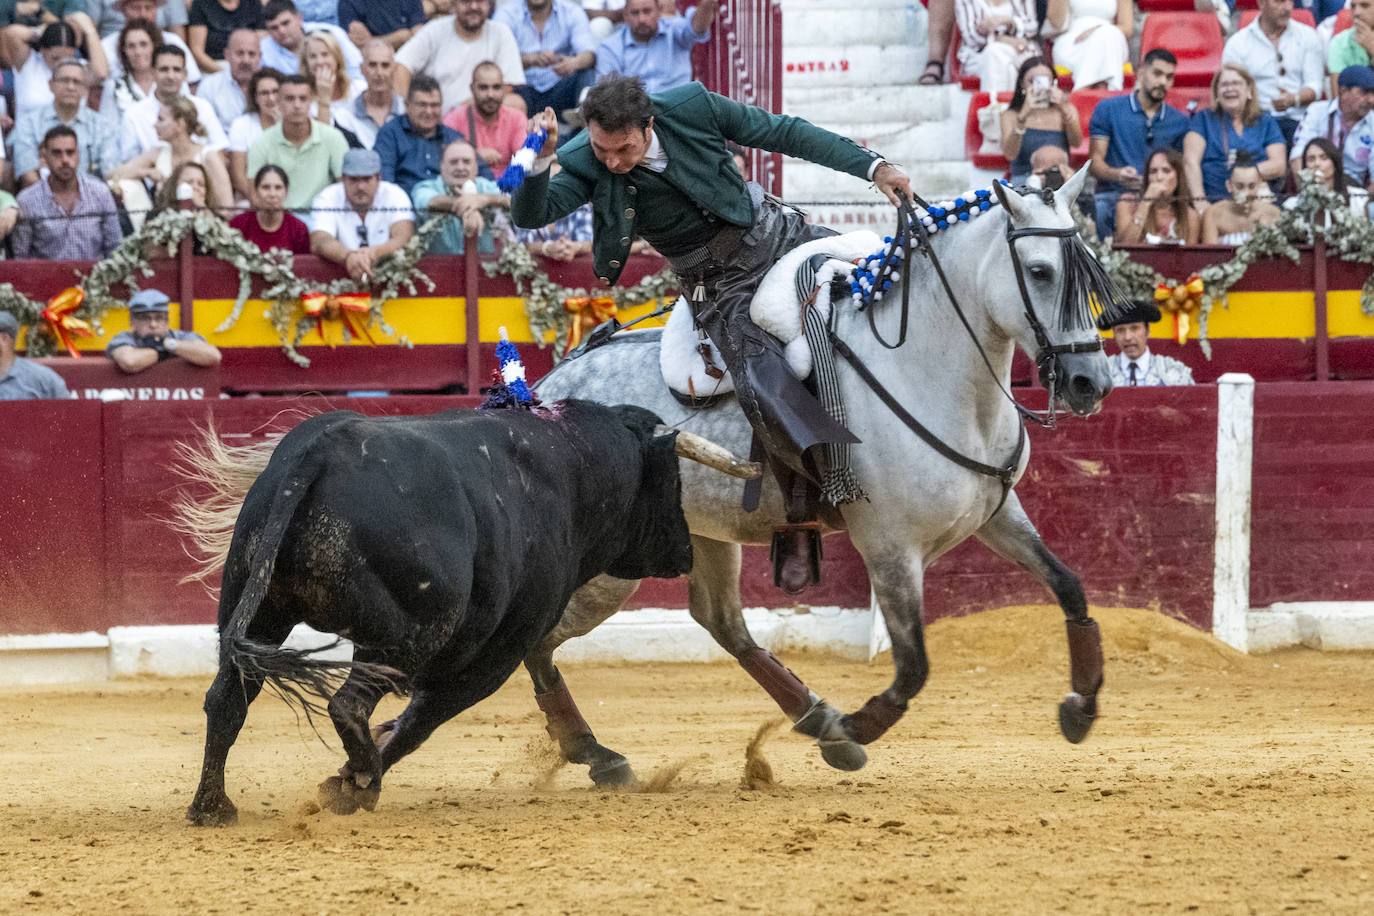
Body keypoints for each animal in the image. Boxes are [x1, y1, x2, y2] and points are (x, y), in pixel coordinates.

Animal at [188, 398, 708, 829]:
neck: (573, 467)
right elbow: (421, 720)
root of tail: (321, 451)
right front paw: (347, 786)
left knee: (227, 699)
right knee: (348, 704)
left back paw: (212, 808)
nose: (687, 551)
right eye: (672, 480)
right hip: (409, 635)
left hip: (259, 611)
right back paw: (364, 782)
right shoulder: (497, 651)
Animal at [519, 168, 1121, 785]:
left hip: (707, 531)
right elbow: (913, 665)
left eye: (1091, 270)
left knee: (720, 620)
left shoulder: (998, 515)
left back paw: (810, 715)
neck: (929, 368)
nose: (1090, 382)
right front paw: (857, 727)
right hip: (611, 567)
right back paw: (595, 751)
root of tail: (540, 390)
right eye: (1040, 271)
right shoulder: (889, 546)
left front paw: (1080, 707)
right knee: (541, 636)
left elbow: (1068, 584)